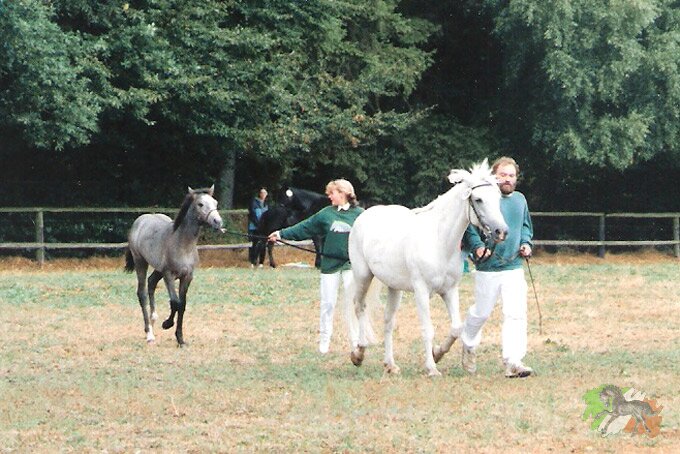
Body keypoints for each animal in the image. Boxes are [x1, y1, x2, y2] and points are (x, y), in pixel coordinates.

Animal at [124, 185, 223, 346]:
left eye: (215, 202)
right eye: (200, 204)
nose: (217, 222)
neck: (182, 244)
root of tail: (140, 221)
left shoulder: (187, 276)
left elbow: (182, 305)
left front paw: (180, 339)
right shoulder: (169, 275)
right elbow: (175, 302)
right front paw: (167, 324)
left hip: (158, 269)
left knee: (151, 282)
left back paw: (153, 318)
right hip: (141, 262)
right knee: (142, 293)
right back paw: (149, 333)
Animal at [348, 160, 508, 376]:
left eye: (498, 198)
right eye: (479, 199)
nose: (502, 232)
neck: (439, 241)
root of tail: (364, 215)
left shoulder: (450, 290)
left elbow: (456, 328)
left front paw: (437, 353)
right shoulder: (421, 291)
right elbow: (427, 329)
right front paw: (432, 368)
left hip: (394, 288)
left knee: (388, 321)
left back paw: (390, 364)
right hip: (363, 276)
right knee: (359, 307)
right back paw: (358, 353)